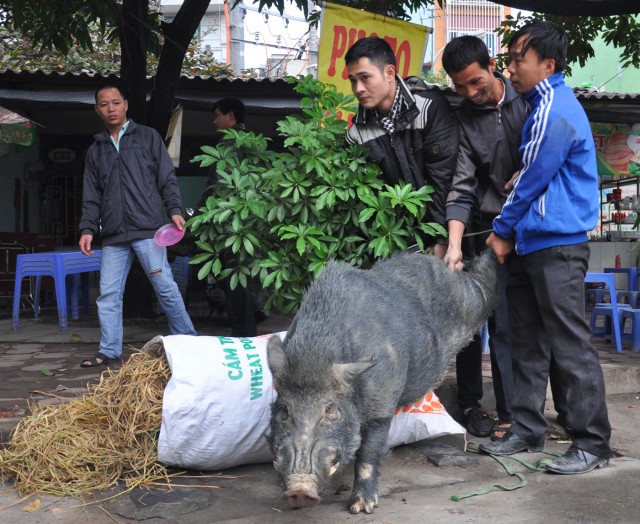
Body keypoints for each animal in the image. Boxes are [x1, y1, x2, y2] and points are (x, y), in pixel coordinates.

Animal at [266, 249, 500, 512]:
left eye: (330, 409)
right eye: (284, 410)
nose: (300, 490)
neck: (317, 353)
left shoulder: (382, 404)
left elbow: (368, 453)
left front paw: (361, 508)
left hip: (471, 300)